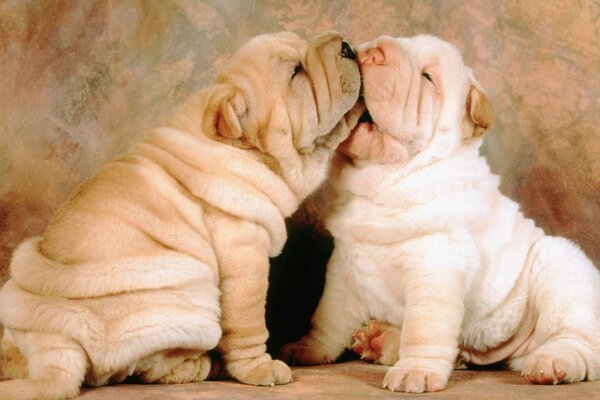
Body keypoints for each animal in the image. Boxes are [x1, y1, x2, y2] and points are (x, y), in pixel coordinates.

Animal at [0, 29, 364, 398]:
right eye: (295, 73)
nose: (347, 45)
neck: (241, 147)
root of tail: (53, 342)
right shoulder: (244, 253)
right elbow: (248, 322)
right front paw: (260, 369)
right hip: (192, 288)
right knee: (147, 368)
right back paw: (208, 365)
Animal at [282, 35, 600, 394]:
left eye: (428, 78)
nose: (374, 53)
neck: (382, 180)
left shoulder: (434, 266)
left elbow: (424, 327)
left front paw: (414, 372)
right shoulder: (343, 267)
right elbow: (328, 316)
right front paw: (307, 348)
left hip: (564, 272)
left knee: (577, 341)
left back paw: (554, 363)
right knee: (457, 351)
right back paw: (380, 340)